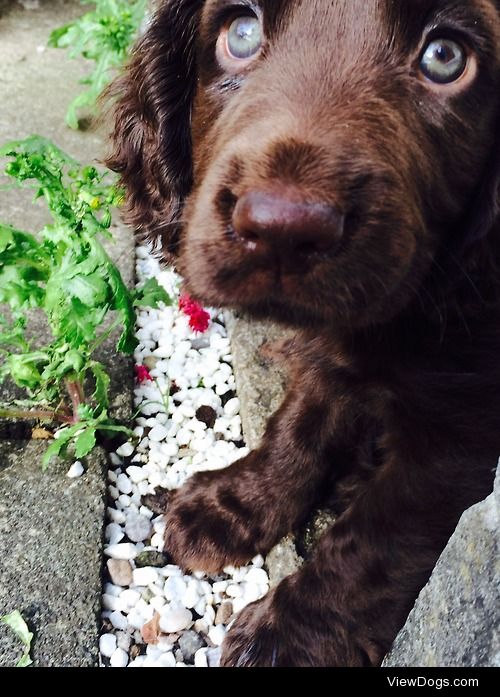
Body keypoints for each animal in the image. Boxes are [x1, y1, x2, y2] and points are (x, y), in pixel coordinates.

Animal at [107, 0, 500, 664]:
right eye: (241, 33)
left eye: (446, 57)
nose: (283, 229)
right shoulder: (329, 359)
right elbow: (300, 427)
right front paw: (232, 505)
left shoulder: (460, 437)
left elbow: (378, 535)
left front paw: (291, 632)